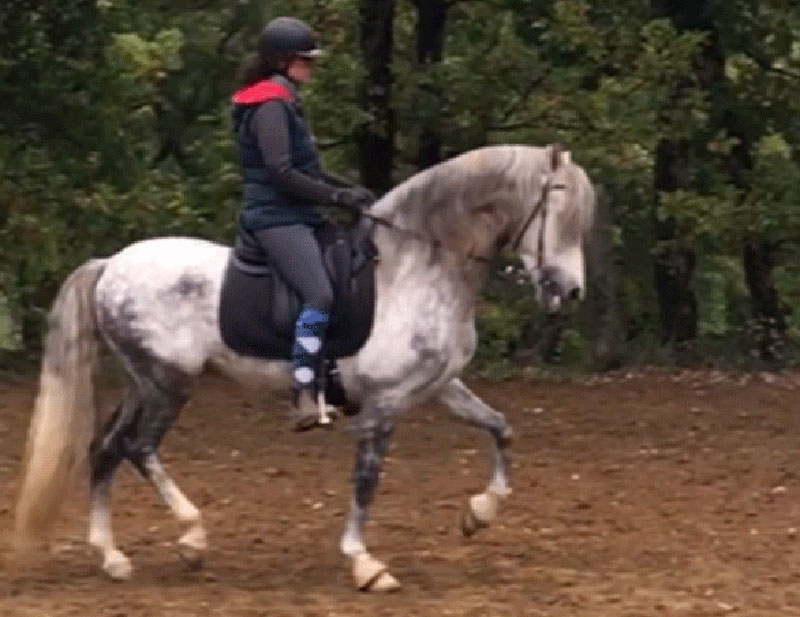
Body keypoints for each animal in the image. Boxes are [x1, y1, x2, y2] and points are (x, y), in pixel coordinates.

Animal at [15, 143, 595, 591]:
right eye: (557, 210)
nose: (570, 293)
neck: (416, 267)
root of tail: (110, 265)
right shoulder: (384, 403)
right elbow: (367, 480)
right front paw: (365, 564)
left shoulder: (439, 386)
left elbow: (501, 428)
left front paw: (480, 513)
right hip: (168, 383)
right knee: (138, 448)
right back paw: (192, 537)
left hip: (144, 383)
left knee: (105, 448)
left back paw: (112, 557)